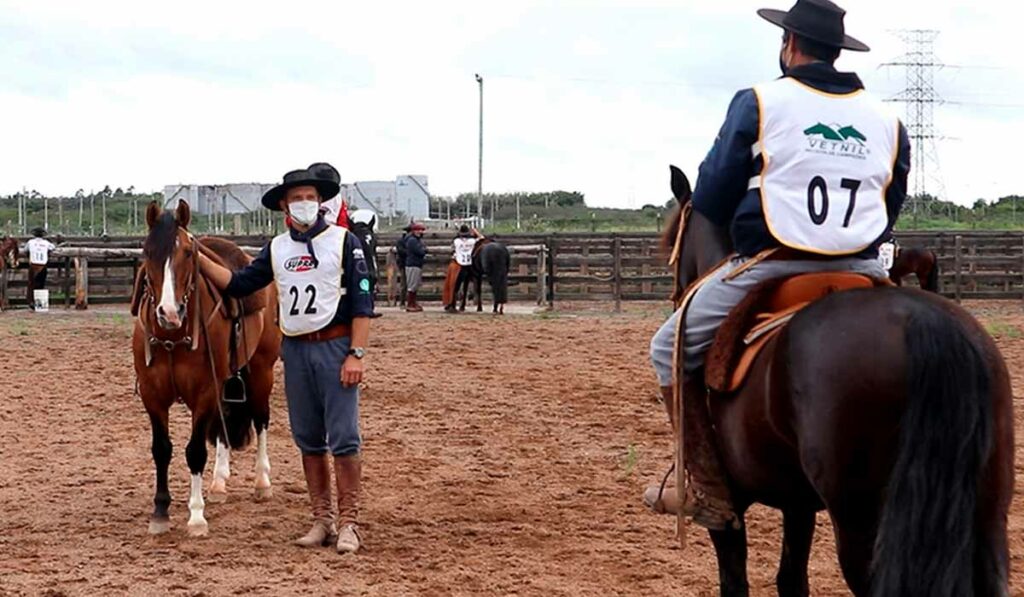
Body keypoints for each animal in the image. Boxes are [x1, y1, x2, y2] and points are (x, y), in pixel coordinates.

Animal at [134, 200, 284, 536]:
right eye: (148, 252)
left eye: (189, 254)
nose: (169, 312)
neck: (173, 337)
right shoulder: (152, 395)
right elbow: (161, 449)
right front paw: (160, 511)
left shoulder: (204, 391)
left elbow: (194, 451)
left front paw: (196, 515)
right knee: (223, 425)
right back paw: (218, 484)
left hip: (261, 371)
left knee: (261, 420)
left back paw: (262, 482)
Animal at [659, 164, 1011, 597]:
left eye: (672, 239)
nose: (676, 294)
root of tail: (922, 320)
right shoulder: (796, 500)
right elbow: (791, 579)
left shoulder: (731, 511)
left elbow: (735, 580)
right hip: (986, 518)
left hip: (861, 525)